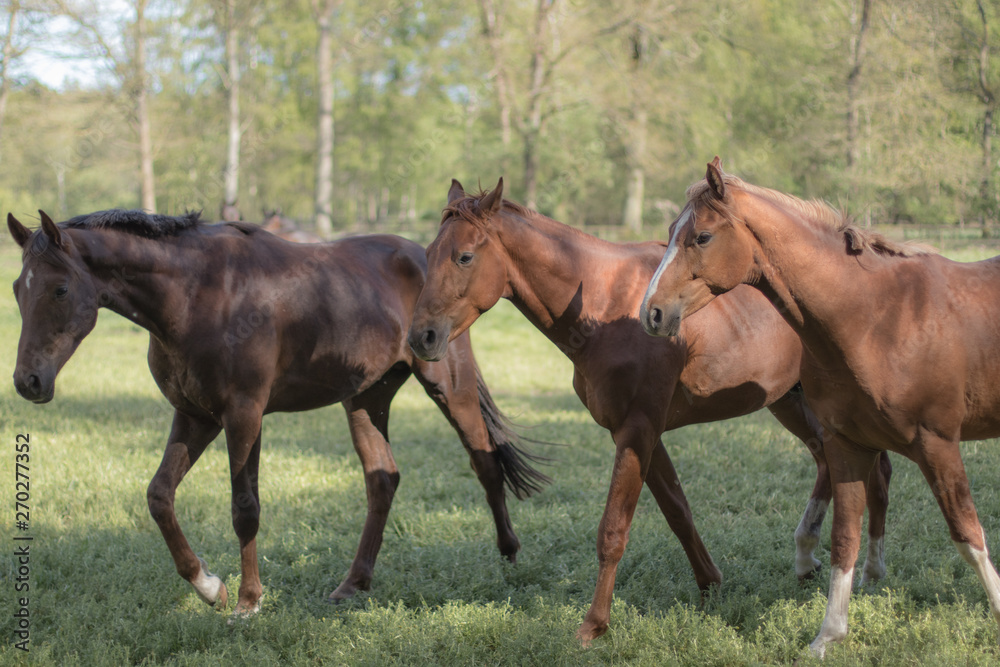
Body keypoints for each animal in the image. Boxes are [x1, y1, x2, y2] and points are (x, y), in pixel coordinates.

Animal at [7, 209, 548, 617]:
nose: (27, 381)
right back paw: (352, 584)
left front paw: (248, 601)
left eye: (59, 289)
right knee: (383, 480)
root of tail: (423, 256)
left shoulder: (244, 415)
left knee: (483, 461)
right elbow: (159, 496)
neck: (198, 293)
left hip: (448, 385)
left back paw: (510, 555)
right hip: (365, 400)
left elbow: (245, 508)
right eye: (17, 288)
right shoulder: (195, 416)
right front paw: (209, 586)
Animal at [405, 178, 892, 643]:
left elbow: (613, 530)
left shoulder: (636, 429)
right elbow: (677, 511)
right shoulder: (641, 433)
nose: (420, 338)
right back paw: (814, 559)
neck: (606, 305)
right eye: (428, 255)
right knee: (845, 465)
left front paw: (593, 626)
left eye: (465, 257)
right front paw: (710, 585)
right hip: (790, 403)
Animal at [640, 157, 1000, 657]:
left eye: (702, 237)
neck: (876, 319)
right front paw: (828, 635)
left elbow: (968, 534)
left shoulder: (939, 445)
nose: (651, 313)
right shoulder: (847, 445)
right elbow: (844, 538)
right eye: (672, 231)